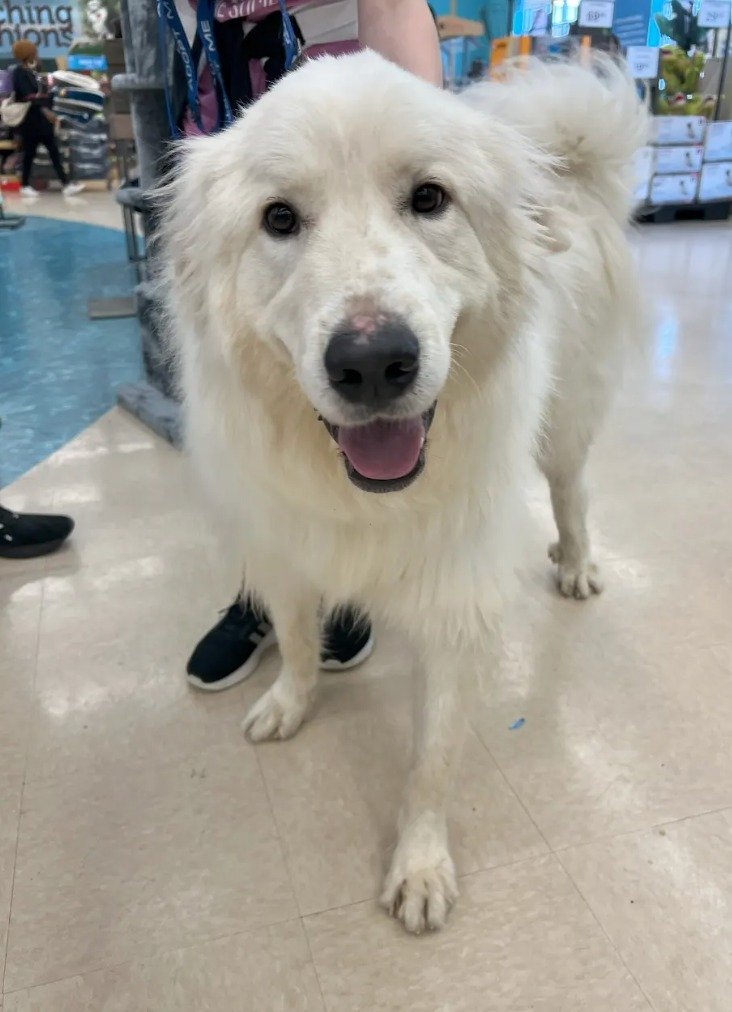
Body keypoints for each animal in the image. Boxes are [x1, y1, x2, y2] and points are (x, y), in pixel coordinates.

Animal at [161, 53, 647, 931]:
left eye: (429, 198)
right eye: (278, 218)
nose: (372, 361)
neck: (362, 492)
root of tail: (565, 168)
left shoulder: (456, 605)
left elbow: (431, 761)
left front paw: (419, 867)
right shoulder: (285, 550)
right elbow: (295, 640)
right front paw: (290, 701)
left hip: (565, 422)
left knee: (573, 491)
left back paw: (576, 562)